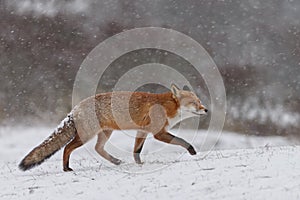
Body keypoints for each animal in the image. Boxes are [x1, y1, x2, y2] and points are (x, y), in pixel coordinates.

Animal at [18, 84, 206, 172]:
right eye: (194, 103)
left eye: (200, 101)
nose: (206, 110)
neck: (167, 107)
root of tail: (75, 108)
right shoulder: (158, 133)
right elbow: (182, 141)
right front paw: (192, 151)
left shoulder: (142, 131)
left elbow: (136, 150)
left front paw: (139, 164)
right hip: (86, 136)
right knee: (67, 148)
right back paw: (66, 168)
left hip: (105, 133)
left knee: (98, 148)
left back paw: (115, 161)